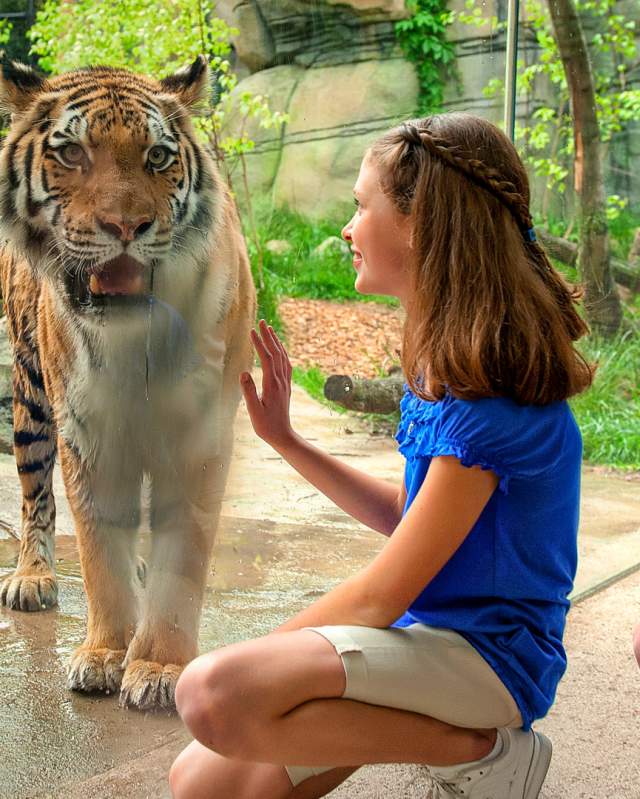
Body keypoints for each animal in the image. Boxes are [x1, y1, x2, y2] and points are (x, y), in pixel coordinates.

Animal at [0, 53, 255, 708]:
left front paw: (161, 666)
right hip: (29, 397)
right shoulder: (87, 431)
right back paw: (31, 575)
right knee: (35, 496)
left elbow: (184, 553)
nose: (126, 226)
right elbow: (99, 552)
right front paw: (106, 655)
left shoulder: (200, 435)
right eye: (71, 153)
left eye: (158, 158)